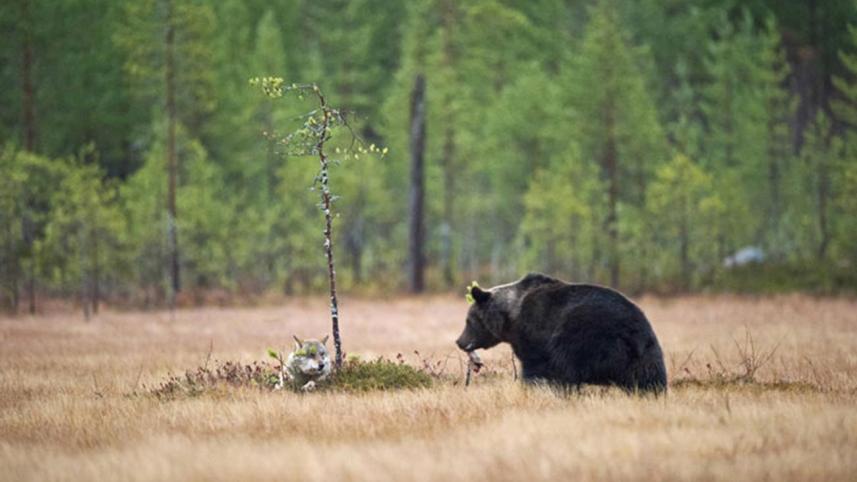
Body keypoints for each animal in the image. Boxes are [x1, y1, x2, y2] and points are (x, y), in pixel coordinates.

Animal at [455, 273, 667, 393]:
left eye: (468, 320)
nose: (459, 341)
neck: (511, 317)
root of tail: (632, 334)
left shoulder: (534, 332)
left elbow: (535, 367)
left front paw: (532, 387)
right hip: (647, 353)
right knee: (650, 379)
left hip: (584, 337)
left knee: (568, 365)